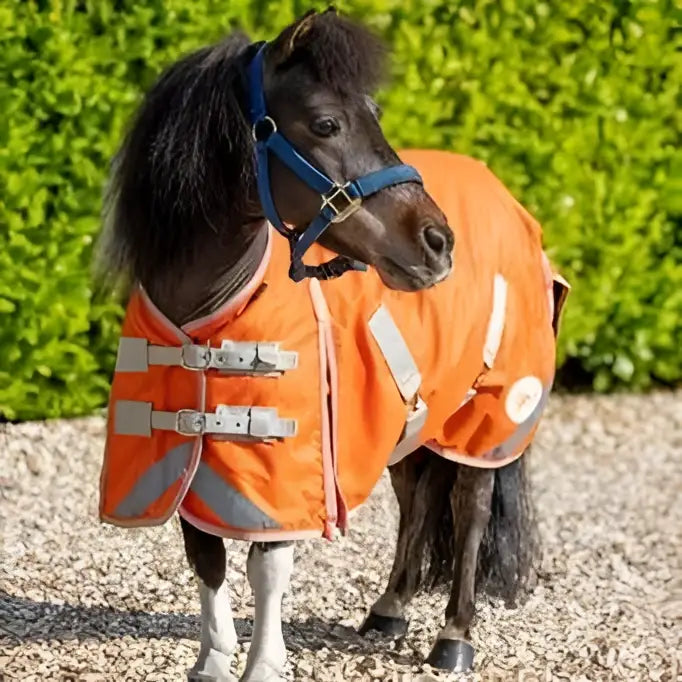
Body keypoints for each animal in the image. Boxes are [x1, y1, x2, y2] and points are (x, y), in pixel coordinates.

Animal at [97, 8, 567, 681]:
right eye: (325, 122)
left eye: (373, 112)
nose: (437, 242)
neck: (207, 311)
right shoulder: (188, 458)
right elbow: (206, 559)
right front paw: (212, 661)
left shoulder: (283, 463)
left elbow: (267, 567)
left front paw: (263, 665)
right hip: (408, 421)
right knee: (417, 501)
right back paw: (389, 610)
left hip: (485, 418)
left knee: (469, 508)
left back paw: (453, 639)